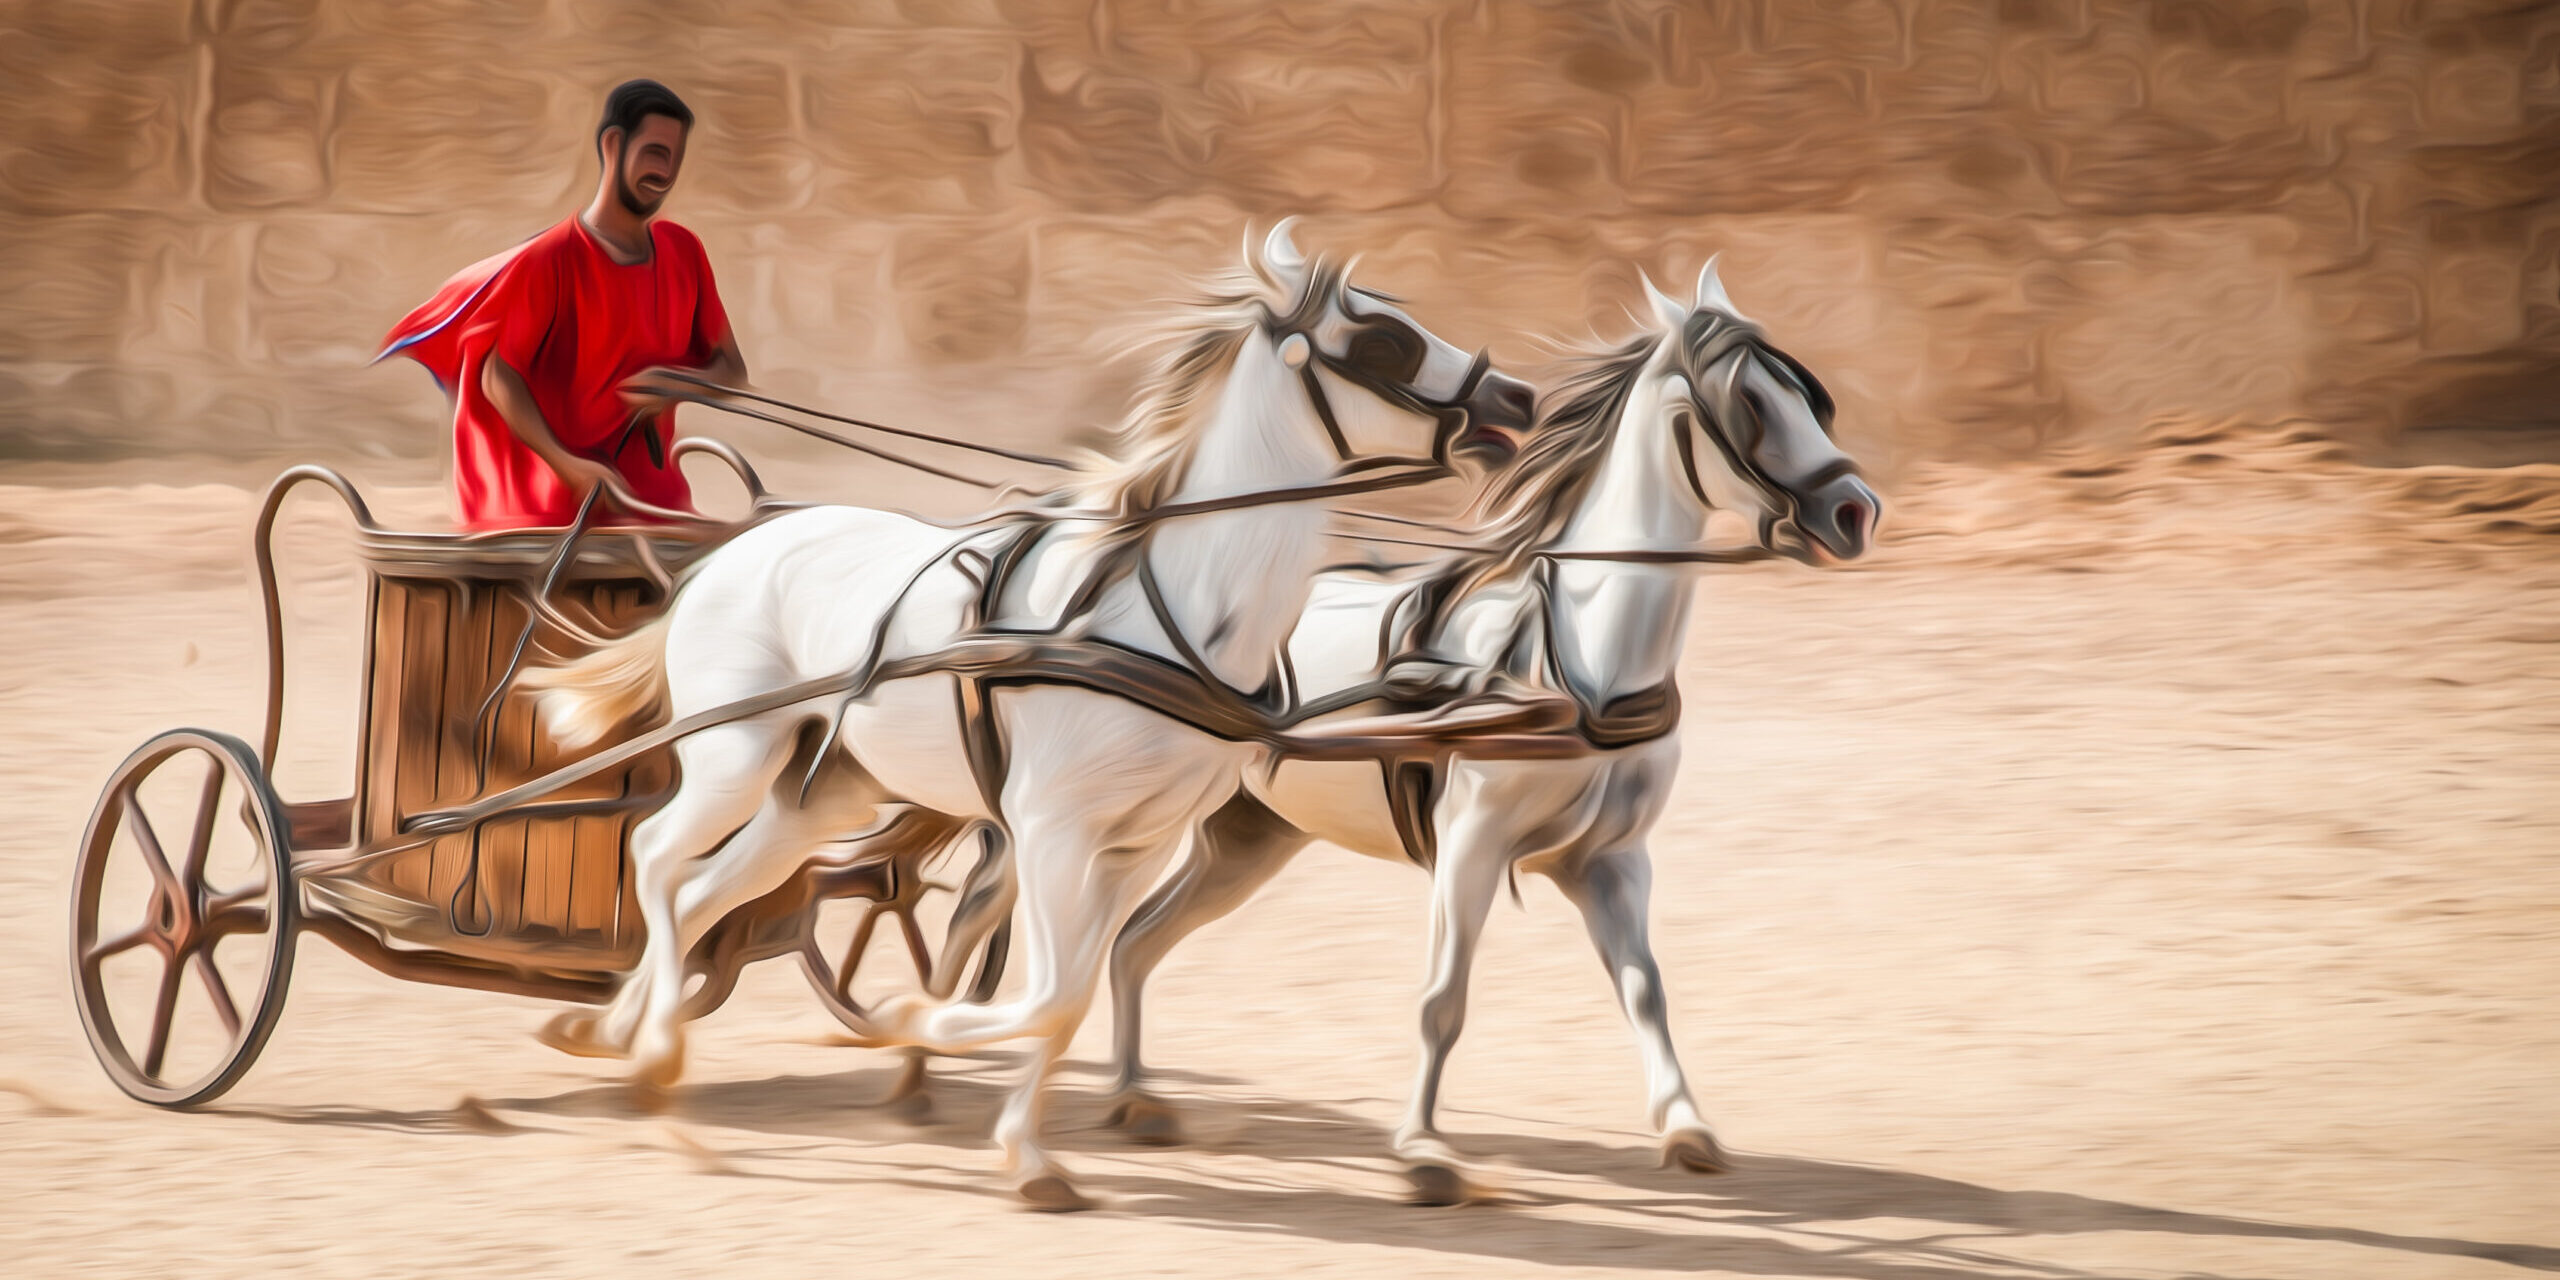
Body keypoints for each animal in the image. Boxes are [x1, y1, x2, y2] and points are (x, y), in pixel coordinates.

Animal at [517, 222, 1515, 1208]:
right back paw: (649, 1052)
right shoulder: (1049, 829)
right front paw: (927, 1038)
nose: (1514, 398)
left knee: (704, 891)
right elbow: (1048, 993)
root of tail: (735, 547)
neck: (1161, 609)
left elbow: (1071, 992)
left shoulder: (1136, 840)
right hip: (736, 756)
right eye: (1384, 340)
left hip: (822, 793)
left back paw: (626, 1041)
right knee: (658, 858)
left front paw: (1017, 1142)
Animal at [1090, 259, 1873, 1198]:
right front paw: (1425, 1150)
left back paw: (1134, 1098)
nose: (1856, 511)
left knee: (1133, 942)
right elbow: (1444, 998)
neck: (1577, 662)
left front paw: (1686, 1126)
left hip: (1248, 838)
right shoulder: (1471, 843)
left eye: (1811, 399)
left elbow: (1645, 989)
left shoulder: (1611, 860)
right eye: (1751, 403)